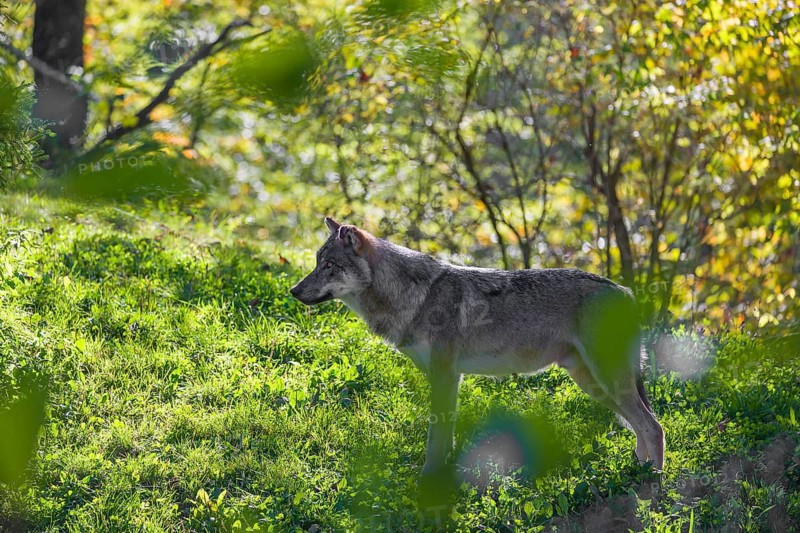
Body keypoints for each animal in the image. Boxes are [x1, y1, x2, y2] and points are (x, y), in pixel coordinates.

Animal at [290, 217, 665, 478]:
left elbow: (435, 439)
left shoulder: (444, 375)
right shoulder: (450, 378)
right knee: (641, 425)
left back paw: (654, 485)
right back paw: (637, 472)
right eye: (317, 262)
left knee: (653, 426)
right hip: (593, 383)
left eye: (329, 265)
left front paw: (426, 481)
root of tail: (627, 292)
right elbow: (447, 437)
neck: (415, 298)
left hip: (606, 379)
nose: (294, 290)